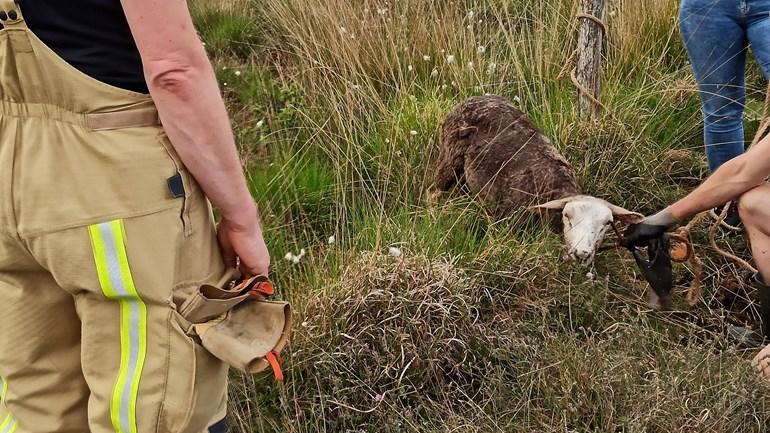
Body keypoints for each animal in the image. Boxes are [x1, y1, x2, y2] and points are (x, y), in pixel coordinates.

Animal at [432, 94, 640, 262]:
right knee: (432, 190)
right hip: (449, 158)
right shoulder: (506, 221)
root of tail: (475, 97)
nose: (582, 253)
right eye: (567, 217)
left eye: (606, 225)